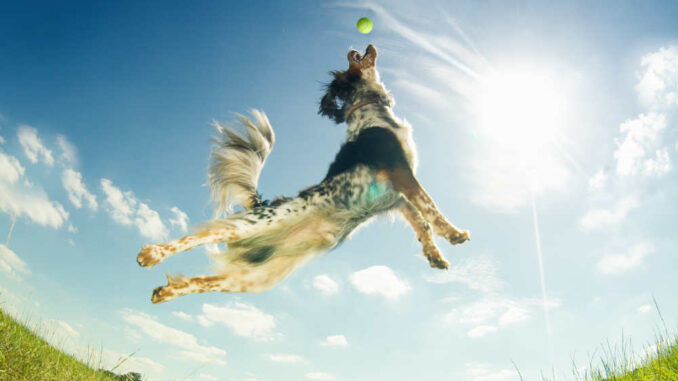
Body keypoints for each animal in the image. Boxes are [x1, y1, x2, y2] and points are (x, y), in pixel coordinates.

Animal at [135, 44, 470, 302]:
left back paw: (165, 292)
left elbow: (421, 222)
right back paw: (152, 253)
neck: (370, 113)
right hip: (252, 225)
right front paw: (454, 233)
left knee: (207, 281)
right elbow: (430, 206)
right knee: (198, 235)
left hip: (257, 277)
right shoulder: (399, 170)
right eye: (349, 61)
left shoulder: (395, 196)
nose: (355, 46)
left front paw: (435, 255)